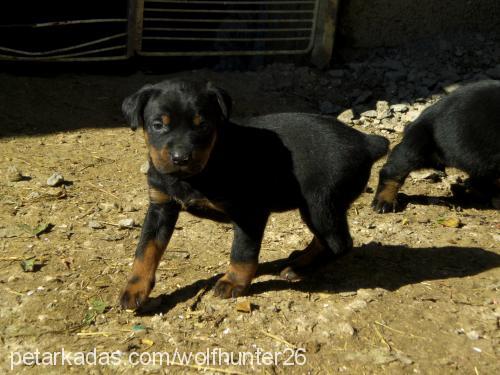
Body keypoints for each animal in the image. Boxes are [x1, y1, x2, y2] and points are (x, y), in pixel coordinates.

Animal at [119, 78, 388, 310]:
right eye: (158, 125)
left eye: (203, 125)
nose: (181, 158)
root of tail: (366, 143)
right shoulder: (160, 206)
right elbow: (145, 249)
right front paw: (135, 288)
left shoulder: (249, 213)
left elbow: (243, 252)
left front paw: (233, 282)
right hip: (315, 207)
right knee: (325, 239)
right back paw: (299, 260)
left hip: (320, 203)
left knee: (339, 242)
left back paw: (300, 270)